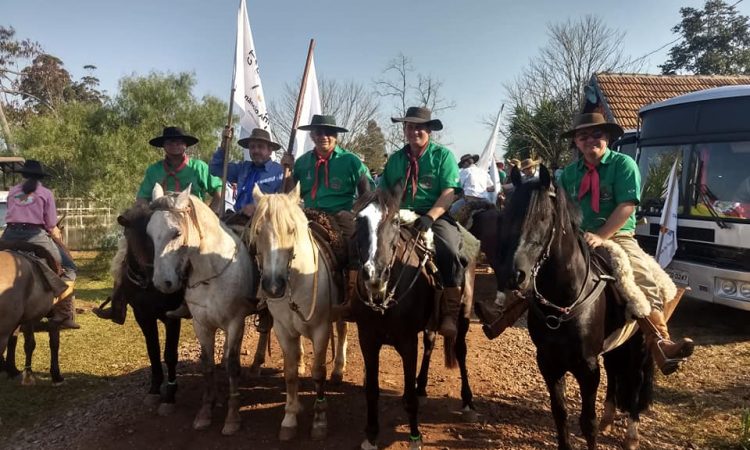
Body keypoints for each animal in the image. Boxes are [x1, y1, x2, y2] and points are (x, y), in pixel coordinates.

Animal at [0, 246, 64, 384]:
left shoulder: (21, 321)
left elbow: (14, 341)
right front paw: (55, 375)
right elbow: (50, 342)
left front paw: (12, 370)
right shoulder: (45, 317)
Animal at [148, 184, 258, 436]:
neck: (212, 271)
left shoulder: (235, 322)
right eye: (149, 233)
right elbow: (207, 365)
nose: (162, 283)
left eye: (176, 233)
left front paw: (232, 417)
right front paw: (206, 411)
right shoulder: (202, 324)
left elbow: (232, 364)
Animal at [250, 185, 350, 442]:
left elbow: (318, 372)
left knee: (342, 330)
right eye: (258, 231)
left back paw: (338, 369)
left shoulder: (321, 329)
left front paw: (319, 420)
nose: (273, 286)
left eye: (292, 230)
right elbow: (290, 373)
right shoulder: (283, 329)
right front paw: (290, 418)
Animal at [356, 187, 478, 450]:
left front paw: (414, 437)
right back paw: (421, 384)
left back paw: (467, 401)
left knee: (460, 350)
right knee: (430, 343)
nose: (374, 273)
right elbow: (371, 390)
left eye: (393, 221)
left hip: (464, 313)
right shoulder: (367, 340)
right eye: (358, 219)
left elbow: (410, 400)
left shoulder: (407, 342)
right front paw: (371, 435)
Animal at [496, 166, 656, 450]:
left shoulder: (588, 368)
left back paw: (631, 435)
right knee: (615, 371)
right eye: (507, 215)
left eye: (543, 218)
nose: (513, 275)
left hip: (638, 345)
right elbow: (560, 413)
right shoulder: (548, 363)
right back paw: (608, 419)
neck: (564, 303)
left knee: (636, 381)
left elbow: (586, 422)